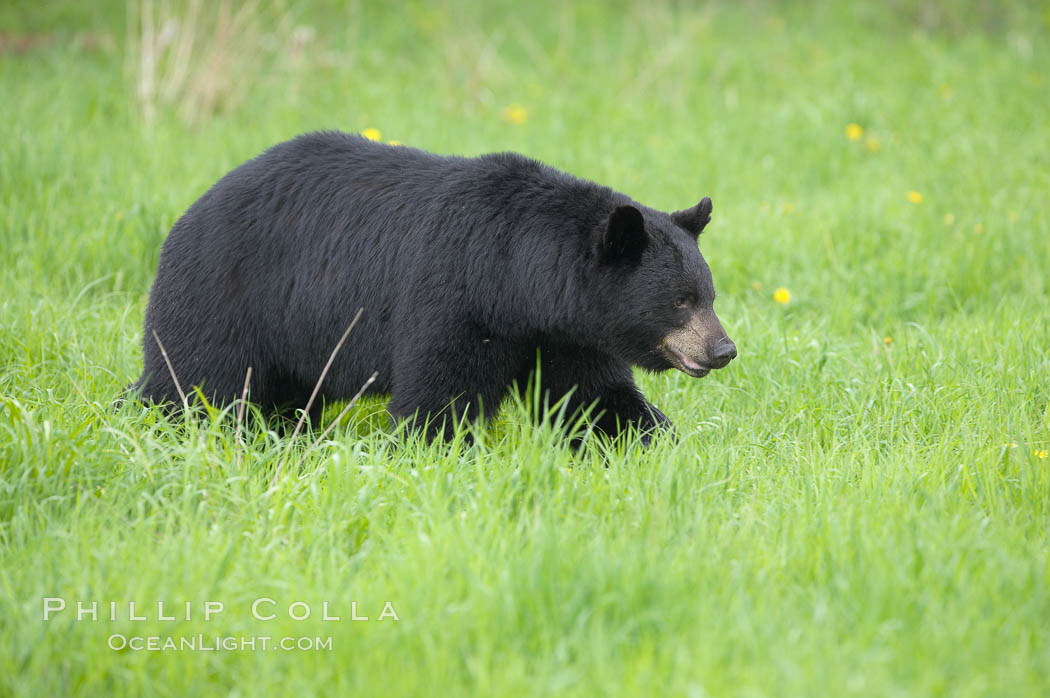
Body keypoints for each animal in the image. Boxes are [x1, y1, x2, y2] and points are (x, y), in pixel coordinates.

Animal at [133, 130, 739, 440]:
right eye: (680, 300)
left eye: (708, 295)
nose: (724, 349)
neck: (516, 280)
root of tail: (186, 217)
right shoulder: (453, 293)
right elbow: (441, 392)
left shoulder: (563, 331)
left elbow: (592, 396)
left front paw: (655, 442)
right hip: (227, 295)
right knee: (198, 385)